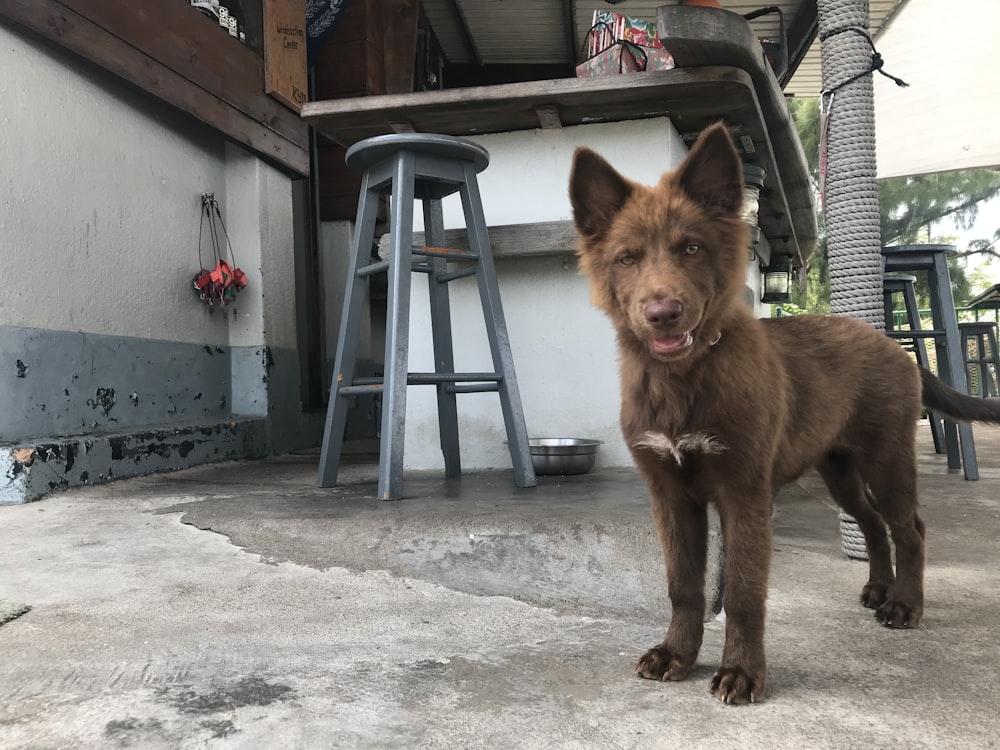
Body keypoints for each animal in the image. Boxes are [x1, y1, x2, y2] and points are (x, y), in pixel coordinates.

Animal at [568, 122, 1000, 704]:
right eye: (627, 258)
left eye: (692, 248)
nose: (663, 314)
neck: (684, 380)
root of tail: (890, 344)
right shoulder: (670, 497)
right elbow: (683, 586)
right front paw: (676, 654)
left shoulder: (744, 494)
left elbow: (743, 592)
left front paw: (742, 671)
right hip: (838, 468)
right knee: (871, 523)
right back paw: (877, 587)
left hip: (887, 459)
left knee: (909, 527)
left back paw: (904, 604)